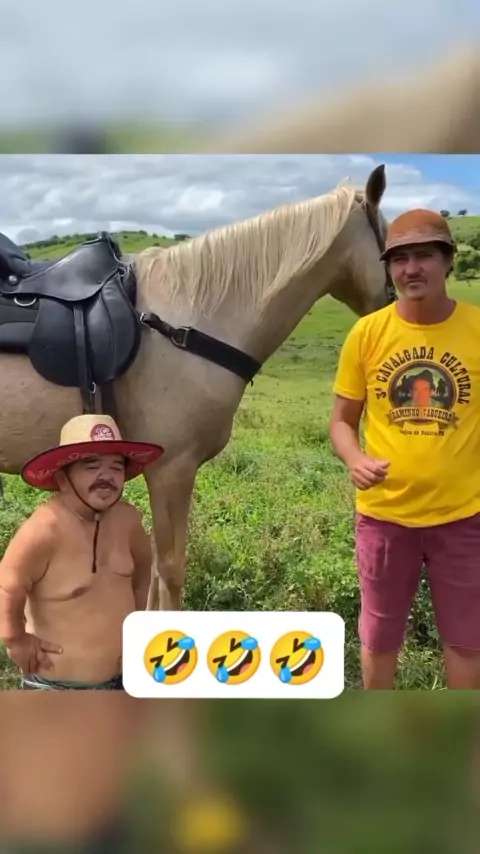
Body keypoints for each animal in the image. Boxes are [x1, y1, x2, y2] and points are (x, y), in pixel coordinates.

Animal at [0, 163, 394, 611]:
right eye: (387, 242)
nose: (394, 305)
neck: (187, 323)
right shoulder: (173, 469)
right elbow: (170, 570)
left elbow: (153, 569)